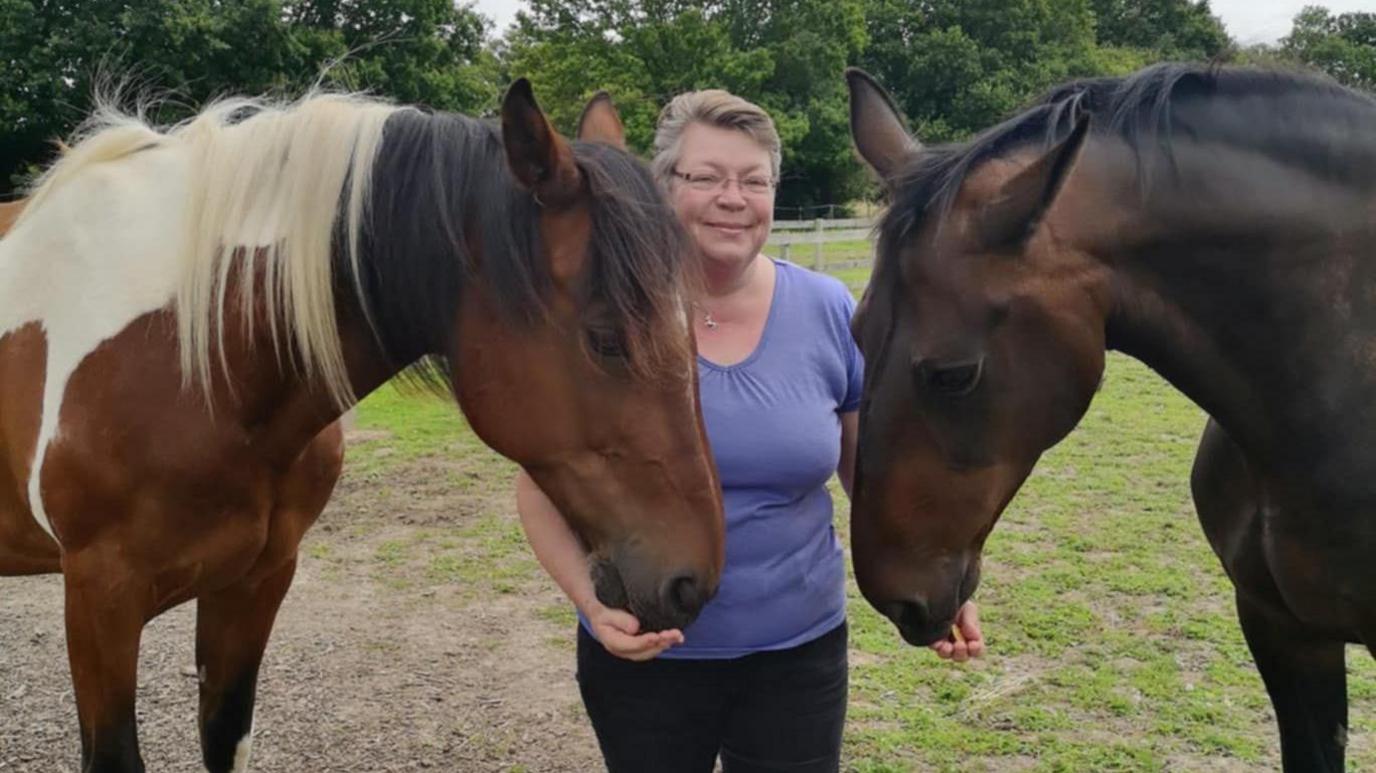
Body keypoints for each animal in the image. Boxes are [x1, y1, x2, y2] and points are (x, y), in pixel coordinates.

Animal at [0, 79, 726, 770]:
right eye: (606, 338)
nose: (694, 583)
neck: (187, 355)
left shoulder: (255, 582)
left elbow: (227, 736)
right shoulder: (100, 600)